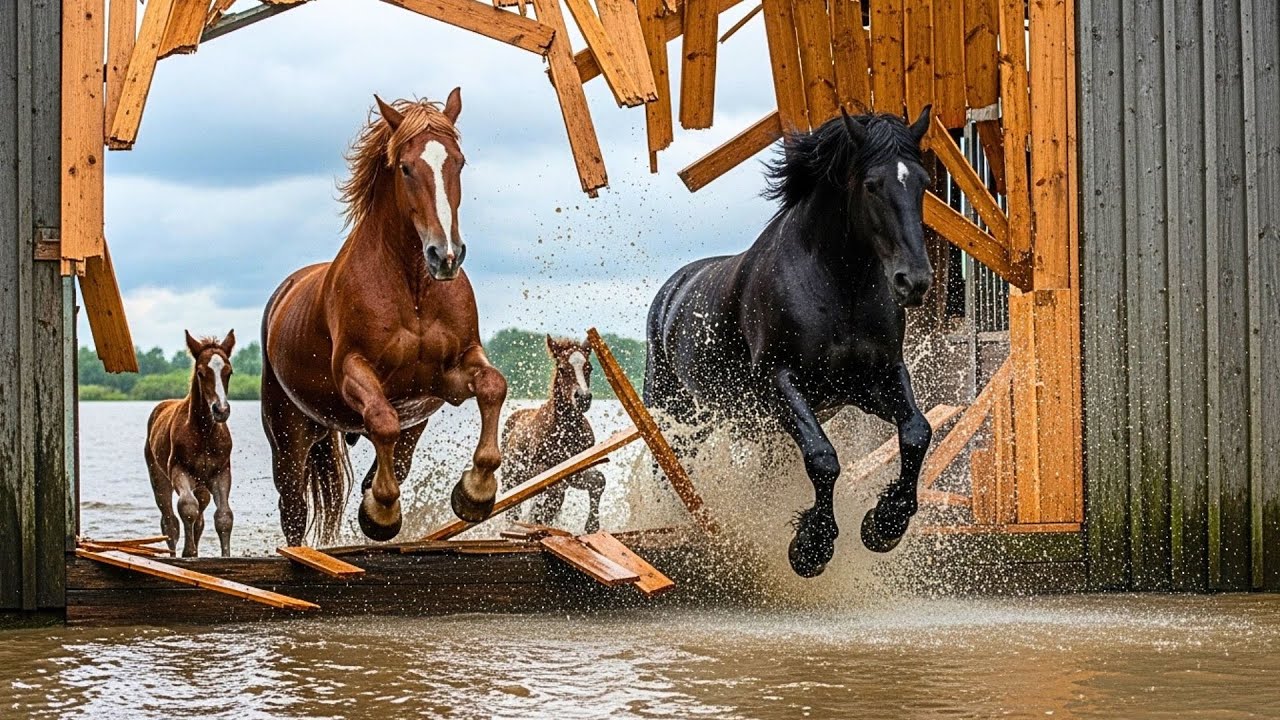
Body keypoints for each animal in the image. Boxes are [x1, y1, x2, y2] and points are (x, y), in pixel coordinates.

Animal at [144, 330, 237, 557]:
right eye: (201, 373)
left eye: (229, 372)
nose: (221, 410)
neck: (204, 434)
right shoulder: (179, 470)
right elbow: (187, 507)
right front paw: (189, 552)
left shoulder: (222, 472)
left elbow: (224, 516)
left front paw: (226, 555)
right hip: (159, 478)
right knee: (169, 523)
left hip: (202, 486)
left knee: (200, 518)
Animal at [260, 90, 508, 546]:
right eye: (406, 167)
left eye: (458, 162)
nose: (445, 255)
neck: (413, 288)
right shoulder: (354, 371)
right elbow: (382, 421)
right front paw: (381, 513)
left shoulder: (448, 374)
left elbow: (492, 385)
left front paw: (475, 492)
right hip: (289, 433)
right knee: (294, 508)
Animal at [500, 335, 605, 532]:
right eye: (562, 368)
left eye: (589, 368)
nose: (583, 398)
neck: (566, 432)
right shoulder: (542, 471)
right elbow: (550, 498)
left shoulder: (576, 472)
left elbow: (599, 481)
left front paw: (592, 526)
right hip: (511, 479)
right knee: (512, 510)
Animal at [643, 107, 935, 578]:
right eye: (872, 184)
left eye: (923, 182)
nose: (914, 282)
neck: (841, 287)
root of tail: (672, 288)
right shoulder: (780, 383)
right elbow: (822, 457)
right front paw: (811, 548)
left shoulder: (876, 379)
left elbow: (916, 432)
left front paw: (884, 525)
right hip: (678, 411)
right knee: (669, 465)